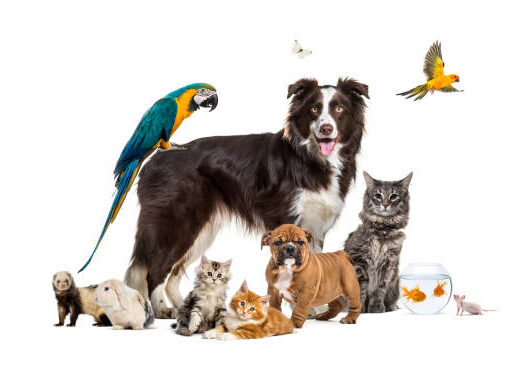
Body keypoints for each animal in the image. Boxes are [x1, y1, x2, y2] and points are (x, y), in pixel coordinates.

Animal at [125, 78, 368, 318]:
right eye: (314, 108)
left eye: (339, 109)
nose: (326, 128)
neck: (310, 158)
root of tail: (153, 160)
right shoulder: (287, 219)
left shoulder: (315, 225)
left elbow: (312, 268)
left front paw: (316, 309)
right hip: (179, 223)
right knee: (156, 268)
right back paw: (162, 309)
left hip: (202, 230)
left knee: (174, 273)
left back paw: (185, 307)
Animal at [344, 171, 414, 312]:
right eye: (378, 195)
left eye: (393, 196)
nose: (385, 204)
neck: (383, 229)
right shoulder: (359, 260)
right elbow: (360, 288)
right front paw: (359, 309)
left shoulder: (388, 264)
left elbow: (379, 290)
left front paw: (376, 307)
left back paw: (391, 307)